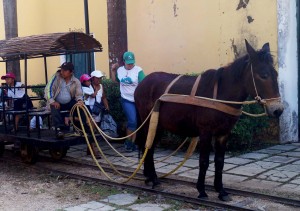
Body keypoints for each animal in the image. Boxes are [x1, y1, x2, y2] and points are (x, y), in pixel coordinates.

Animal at [134, 40, 284, 201]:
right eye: (263, 75)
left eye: (276, 74)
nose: (278, 110)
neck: (220, 95)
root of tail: (142, 83)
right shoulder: (205, 132)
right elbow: (204, 161)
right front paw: (202, 190)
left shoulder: (223, 133)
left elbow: (219, 162)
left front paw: (221, 191)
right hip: (149, 122)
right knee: (148, 147)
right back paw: (154, 179)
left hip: (159, 124)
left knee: (149, 147)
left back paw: (150, 177)